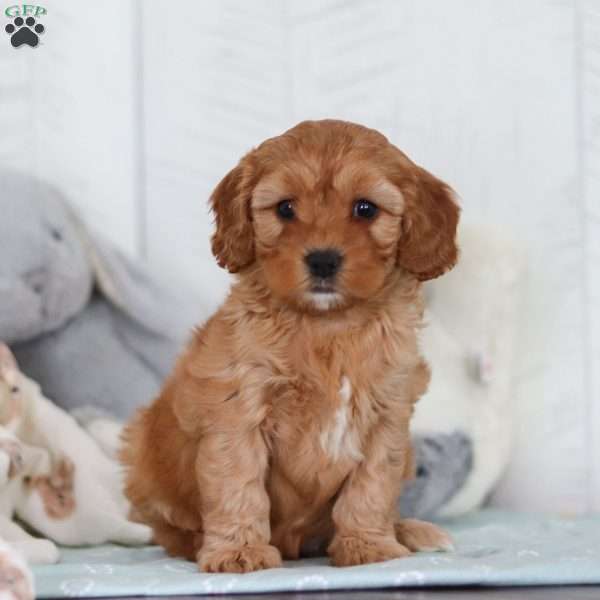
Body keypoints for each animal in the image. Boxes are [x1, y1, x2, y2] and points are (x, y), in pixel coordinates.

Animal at [120, 119, 460, 576]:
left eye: (365, 209)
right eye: (284, 209)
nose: (322, 260)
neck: (326, 326)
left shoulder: (387, 417)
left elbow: (371, 488)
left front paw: (368, 545)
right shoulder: (238, 411)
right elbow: (238, 486)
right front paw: (238, 552)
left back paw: (406, 531)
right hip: (143, 458)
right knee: (170, 528)